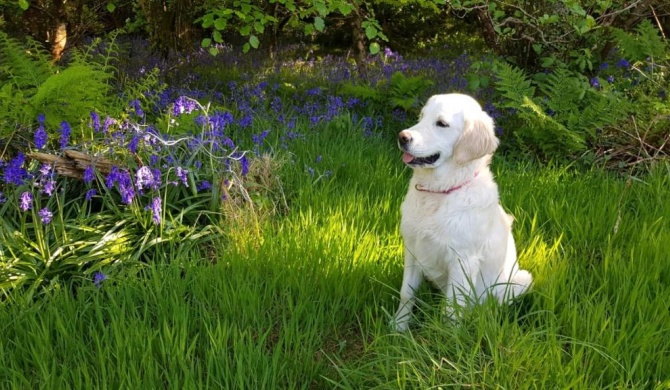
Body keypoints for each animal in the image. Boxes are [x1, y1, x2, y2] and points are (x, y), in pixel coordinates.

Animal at [394, 93, 532, 330]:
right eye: (421, 117)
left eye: (441, 124)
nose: (403, 137)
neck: (440, 192)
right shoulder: (412, 249)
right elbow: (407, 293)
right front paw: (398, 327)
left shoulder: (462, 261)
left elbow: (451, 309)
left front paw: (446, 337)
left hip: (520, 280)